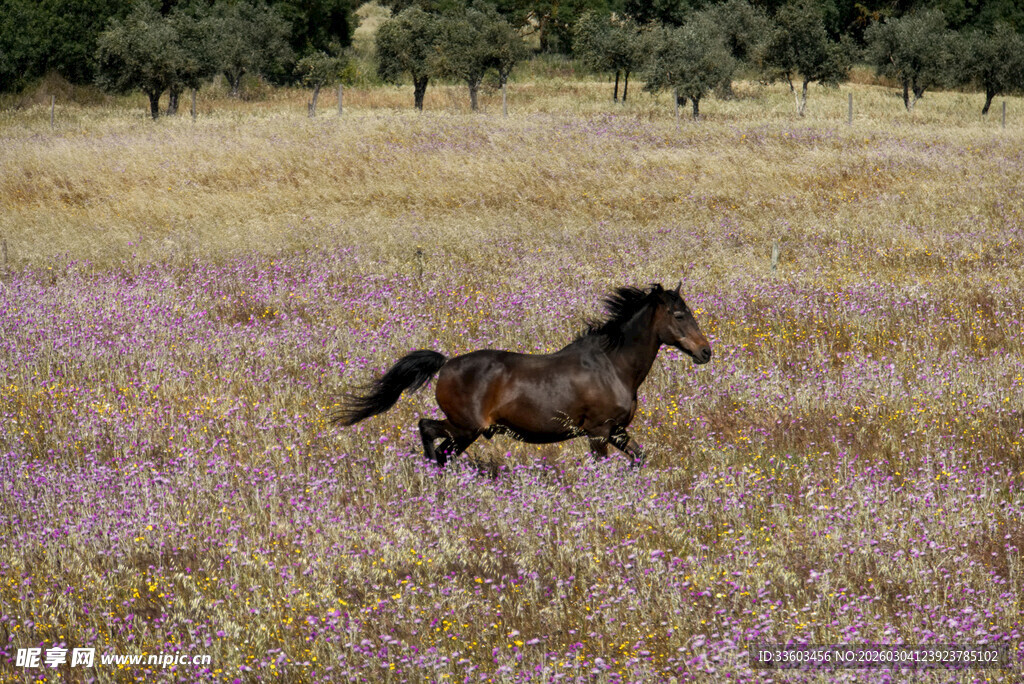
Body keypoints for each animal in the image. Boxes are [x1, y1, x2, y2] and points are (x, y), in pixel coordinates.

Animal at [333, 283, 712, 468]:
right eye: (679, 315)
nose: (706, 352)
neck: (613, 366)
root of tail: (446, 364)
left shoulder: (618, 431)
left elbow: (639, 459)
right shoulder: (598, 432)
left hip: (466, 431)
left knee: (442, 449)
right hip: (467, 427)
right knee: (429, 431)